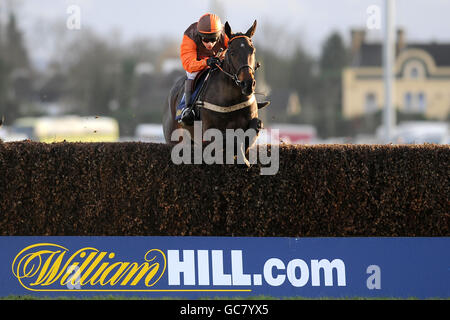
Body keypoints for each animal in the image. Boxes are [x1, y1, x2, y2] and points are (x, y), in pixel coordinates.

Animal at [163, 19, 266, 164]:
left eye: (252, 50)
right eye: (232, 52)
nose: (248, 84)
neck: (231, 99)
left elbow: (253, 128)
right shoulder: (209, 133)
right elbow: (229, 139)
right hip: (174, 138)